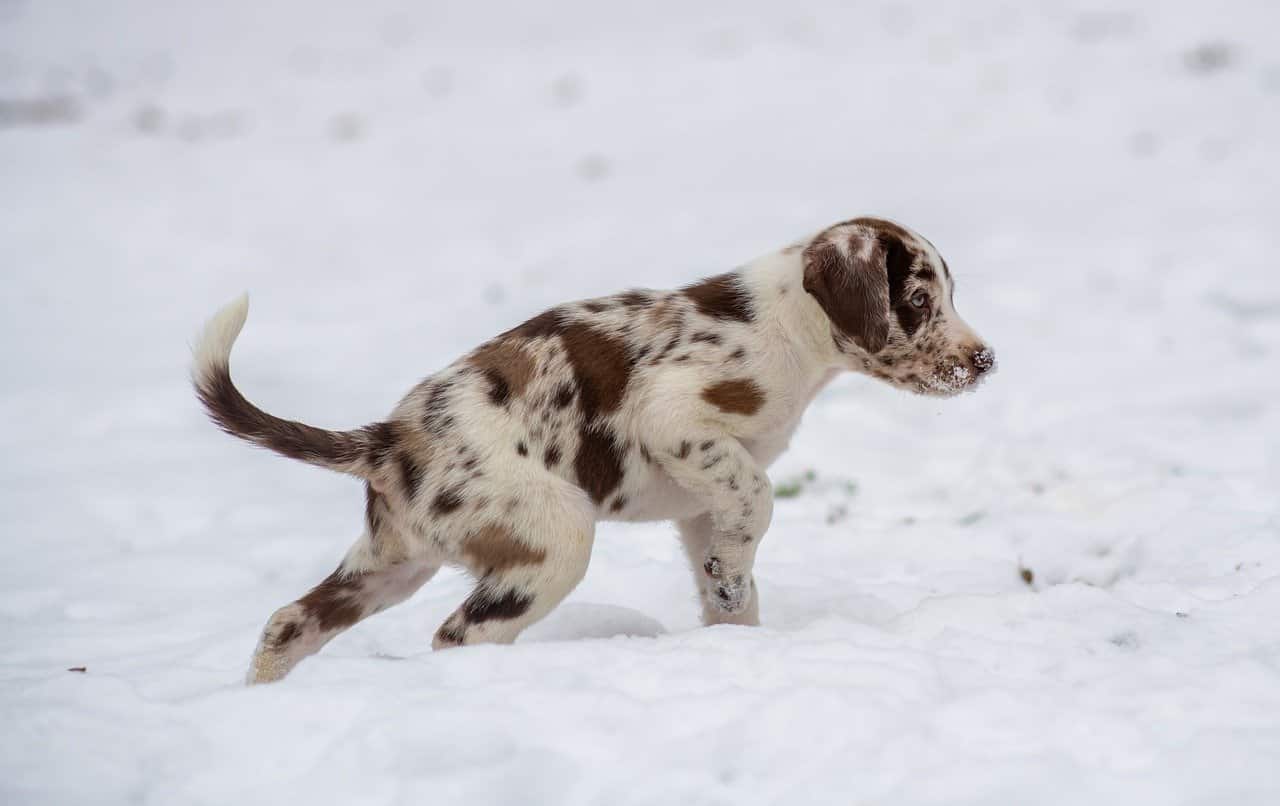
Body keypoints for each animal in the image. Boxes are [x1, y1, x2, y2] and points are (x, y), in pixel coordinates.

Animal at [192, 216, 988, 690]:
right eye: (919, 300)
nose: (985, 362)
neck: (789, 326)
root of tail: (388, 440)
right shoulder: (677, 419)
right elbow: (759, 501)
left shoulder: (701, 503)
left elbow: (730, 572)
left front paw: (734, 624)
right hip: (554, 541)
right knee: (457, 636)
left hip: (393, 563)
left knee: (290, 621)